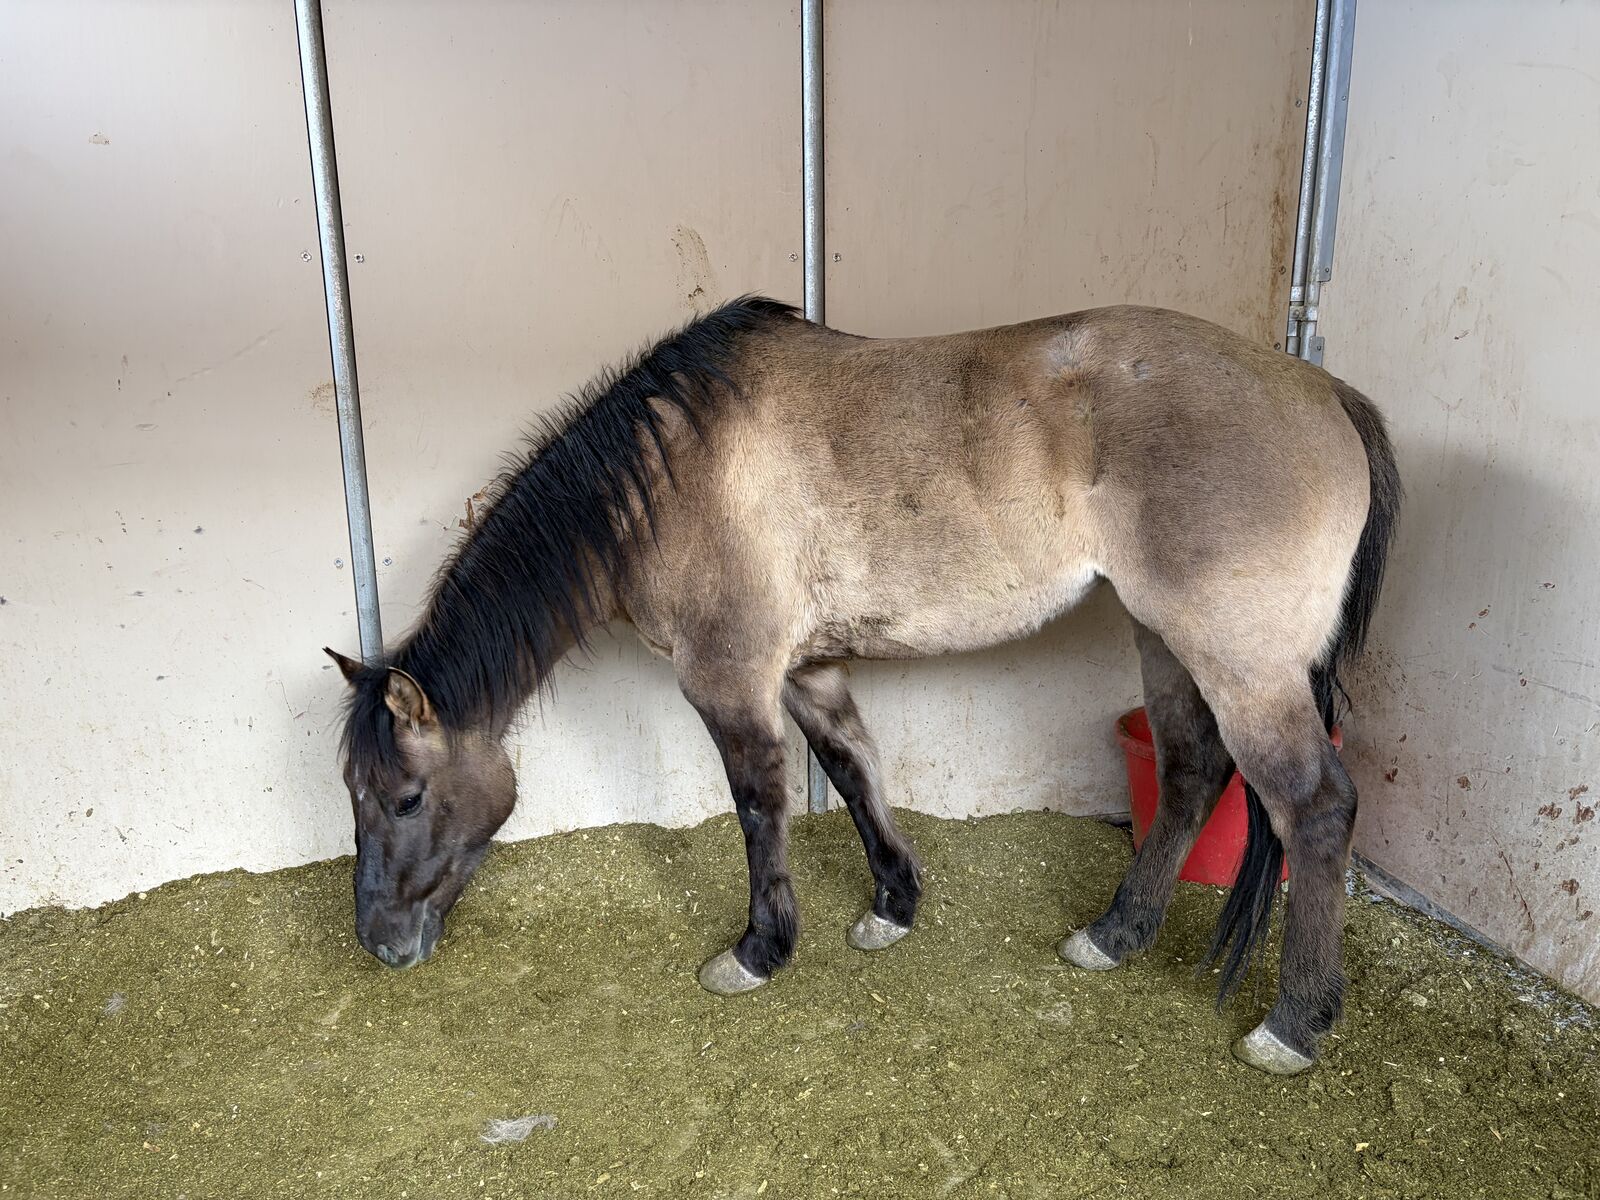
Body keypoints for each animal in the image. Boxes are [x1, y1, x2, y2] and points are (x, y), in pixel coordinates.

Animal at [326, 295, 1399, 1075]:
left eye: (406, 796)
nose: (379, 942)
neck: (659, 482)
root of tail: (1323, 389)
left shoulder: (730, 681)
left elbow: (761, 804)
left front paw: (760, 950)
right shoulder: (809, 669)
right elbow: (851, 771)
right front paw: (893, 904)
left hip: (1237, 662)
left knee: (1315, 807)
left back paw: (1294, 1022)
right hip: (1164, 639)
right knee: (1187, 774)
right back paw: (1117, 933)